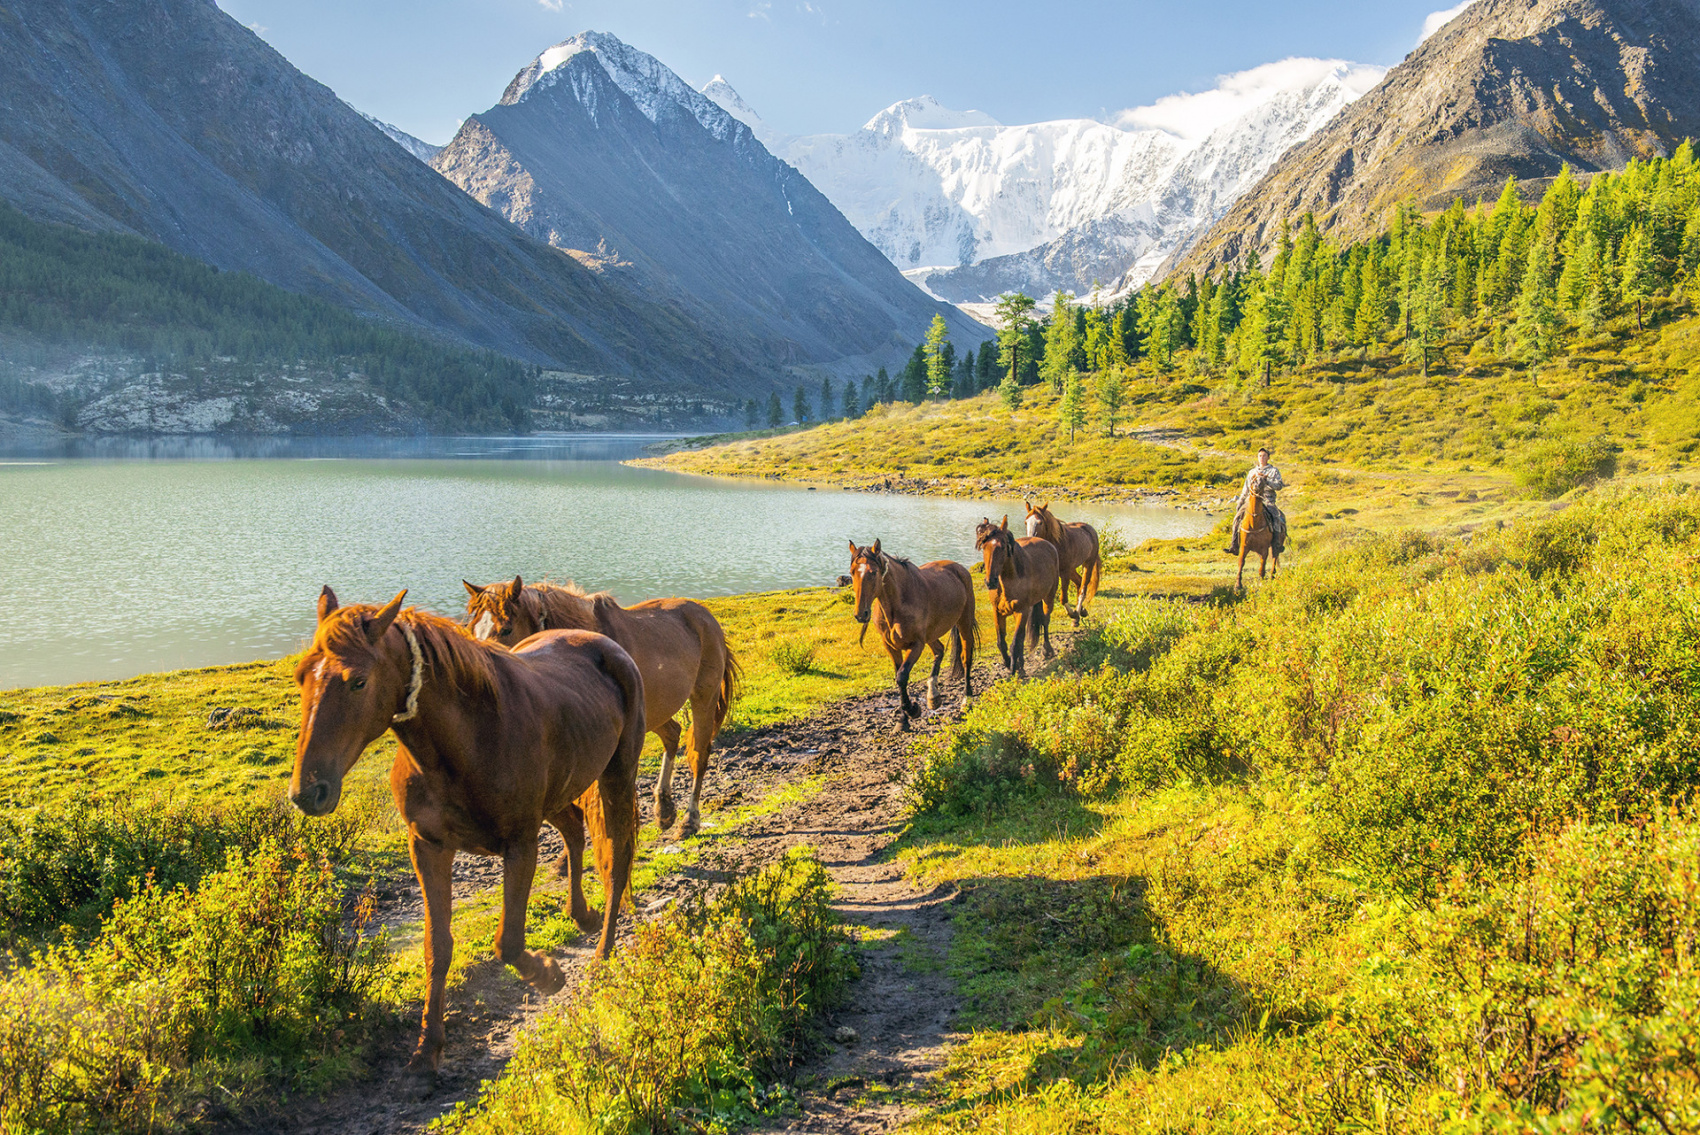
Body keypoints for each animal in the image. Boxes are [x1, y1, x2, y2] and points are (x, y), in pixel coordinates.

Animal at [289, 584, 639, 1073]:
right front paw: (427, 1046)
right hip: (559, 794)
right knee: (573, 828)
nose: (308, 791)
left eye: (357, 681)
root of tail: (603, 644)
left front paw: (549, 975)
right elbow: (437, 948)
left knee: (617, 861)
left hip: (615, 778)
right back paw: (582, 915)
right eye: (302, 675)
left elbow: (507, 942)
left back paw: (603, 955)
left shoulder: (520, 843)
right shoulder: (428, 846)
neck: (466, 739)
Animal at [465, 581, 737, 839]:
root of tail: (705, 616)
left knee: (699, 754)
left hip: (703, 698)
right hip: (656, 711)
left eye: (506, 629)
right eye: (472, 629)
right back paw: (664, 809)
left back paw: (690, 819)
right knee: (673, 734)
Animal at [846, 540, 979, 730]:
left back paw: (966, 701)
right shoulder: (891, 646)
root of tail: (959, 568)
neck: (898, 603)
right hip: (931, 634)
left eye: (873, 572)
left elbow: (902, 676)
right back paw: (933, 696)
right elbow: (899, 677)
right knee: (939, 650)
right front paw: (903, 721)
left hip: (964, 624)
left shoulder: (916, 644)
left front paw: (912, 710)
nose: (860, 614)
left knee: (966, 659)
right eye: (852, 572)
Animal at [979, 519, 1054, 679]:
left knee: (1045, 621)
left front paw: (1014, 670)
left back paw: (1047, 650)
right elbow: (1002, 643)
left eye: (1002, 547)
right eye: (983, 547)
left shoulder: (1021, 611)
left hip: (1048, 598)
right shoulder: (997, 612)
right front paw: (1011, 664)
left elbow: (1014, 644)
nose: (990, 582)